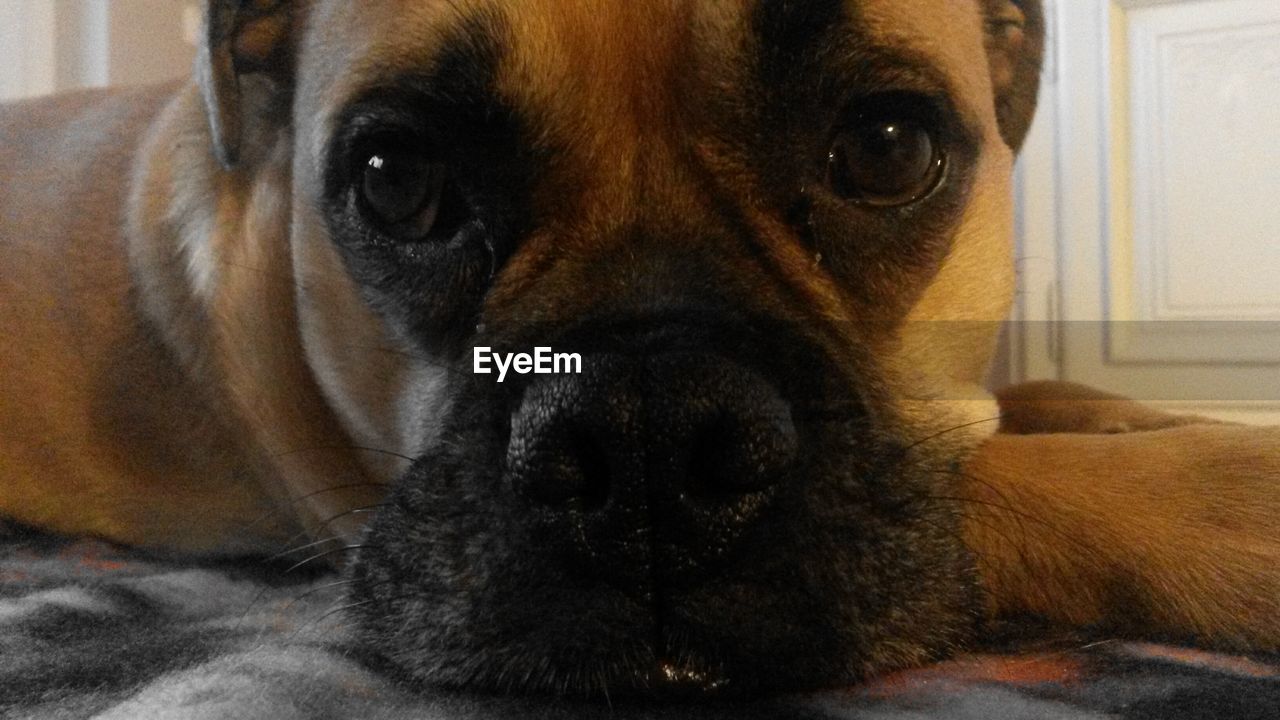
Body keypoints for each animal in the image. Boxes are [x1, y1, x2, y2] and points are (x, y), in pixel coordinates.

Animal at [0, 0, 1274, 696]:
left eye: (885, 146)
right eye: (395, 180)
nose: (647, 429)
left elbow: (1037, 401)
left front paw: (1137, 411)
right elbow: (1019, 473)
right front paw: (1223, 482)